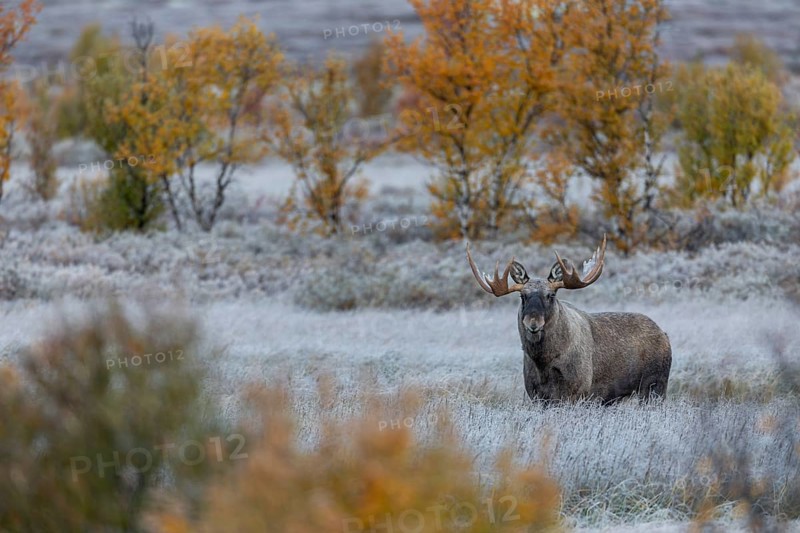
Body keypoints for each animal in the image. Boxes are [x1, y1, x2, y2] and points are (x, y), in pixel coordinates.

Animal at [466, 235, 671, 404]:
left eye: (551, 295)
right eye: (522, 296)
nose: (533, 323)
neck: (544, 363)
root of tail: (664, 335)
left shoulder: (578, 391)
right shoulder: (537, 396)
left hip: (655, 385)